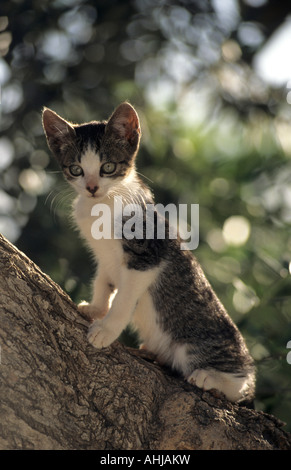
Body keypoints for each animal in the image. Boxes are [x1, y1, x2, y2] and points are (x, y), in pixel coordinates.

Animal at [41, 103, 256, 404]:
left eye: (108, 167)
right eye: (76, 169)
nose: (92, 187)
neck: (104, 204)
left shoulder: (147, 257)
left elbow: (124, 299)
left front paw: (106, 330)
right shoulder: (104, 257)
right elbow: (103, 281)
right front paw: (96, 308)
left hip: (203, 346)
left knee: (239, 386)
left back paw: (209, 377)